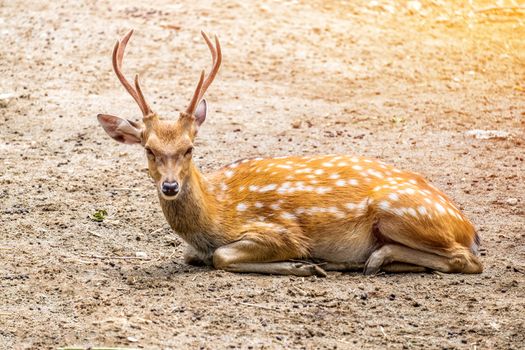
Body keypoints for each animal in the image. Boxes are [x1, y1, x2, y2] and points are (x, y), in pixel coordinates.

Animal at [95, 29, 484, 276]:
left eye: (190, 147)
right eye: (148, 149)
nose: (170, 186)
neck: (217, 214)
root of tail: (468, 226)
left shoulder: (280, 230)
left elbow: (221, 255)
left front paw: (302, 264)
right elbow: (195, 255)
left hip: (397, 211)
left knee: (466, 260)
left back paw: (366, 260)